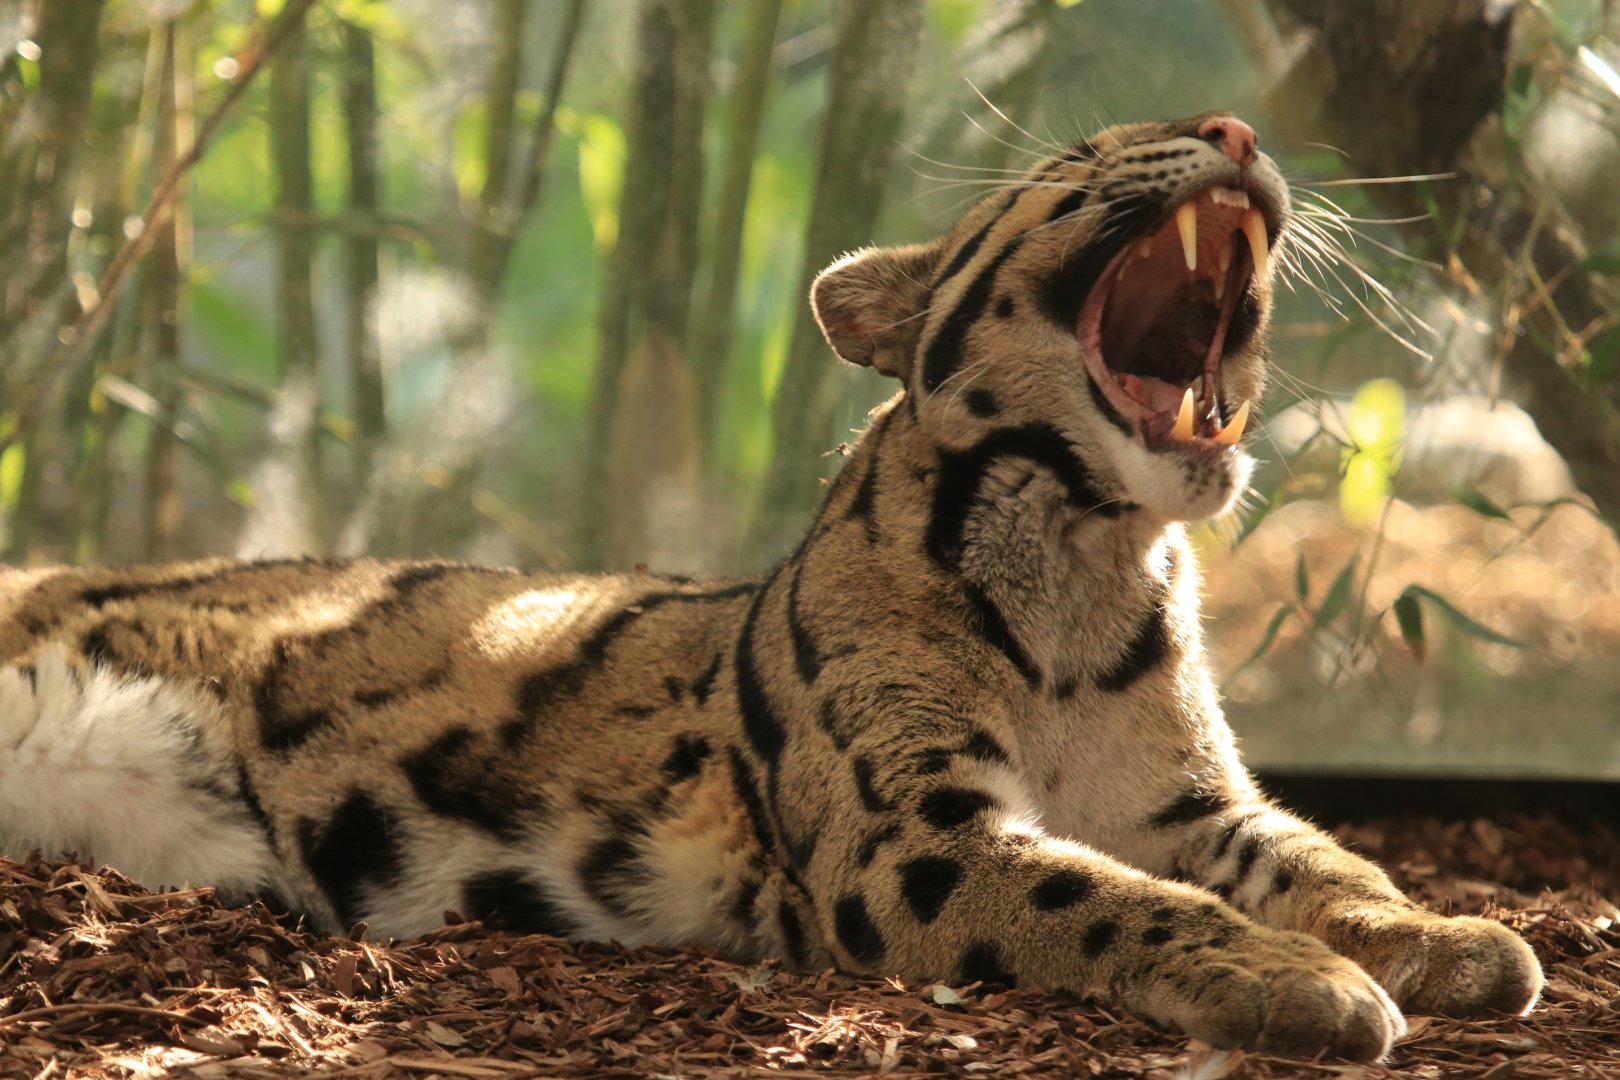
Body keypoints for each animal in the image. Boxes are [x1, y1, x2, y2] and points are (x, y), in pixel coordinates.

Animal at [0, 113, 1541, 1062]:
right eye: (1080, 156)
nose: (1237, 134)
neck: (1090, 566)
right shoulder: (912, 837)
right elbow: (1117, 901)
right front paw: (1303, 984)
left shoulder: (1198, 807)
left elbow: (1330, 862)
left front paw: (1450, 938)